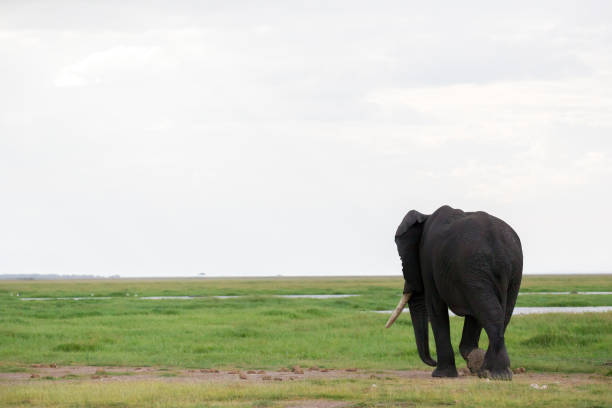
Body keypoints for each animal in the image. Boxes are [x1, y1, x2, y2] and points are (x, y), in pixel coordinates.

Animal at [384, 206, 524, 380]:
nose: (433, 361)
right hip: (508, 270)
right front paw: (472, 359)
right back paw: (493, 372)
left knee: (489, 311)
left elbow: (435, 307)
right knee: (499, 312)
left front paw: (442, 374)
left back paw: (494, 373)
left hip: (474, 265)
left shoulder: (428, 261)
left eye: (402, 257)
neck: (425, 216)